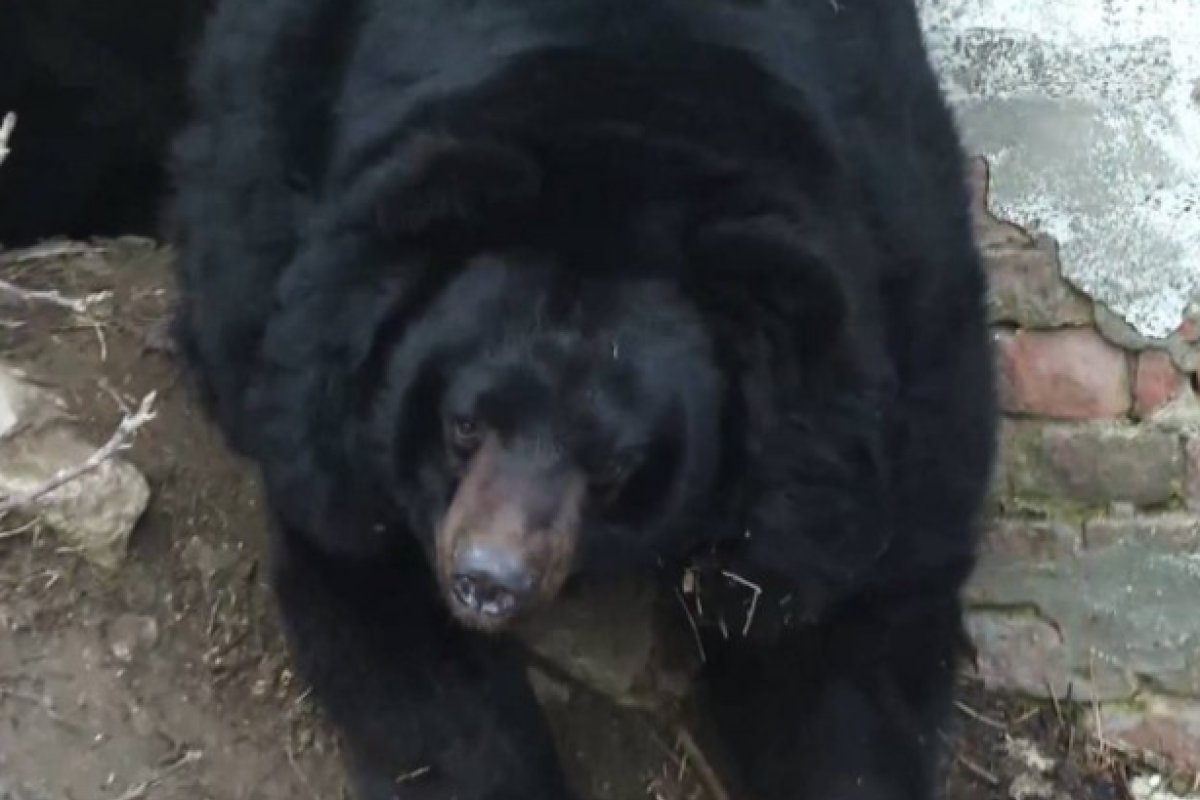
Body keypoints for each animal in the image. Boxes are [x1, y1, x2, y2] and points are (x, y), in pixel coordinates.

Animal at [166, 1, 993, 800]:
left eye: (612, 467)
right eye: (463, 425)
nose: (487, 582)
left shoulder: (872, 386)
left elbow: (841, 627)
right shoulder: (329, 388)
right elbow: (382, 603)